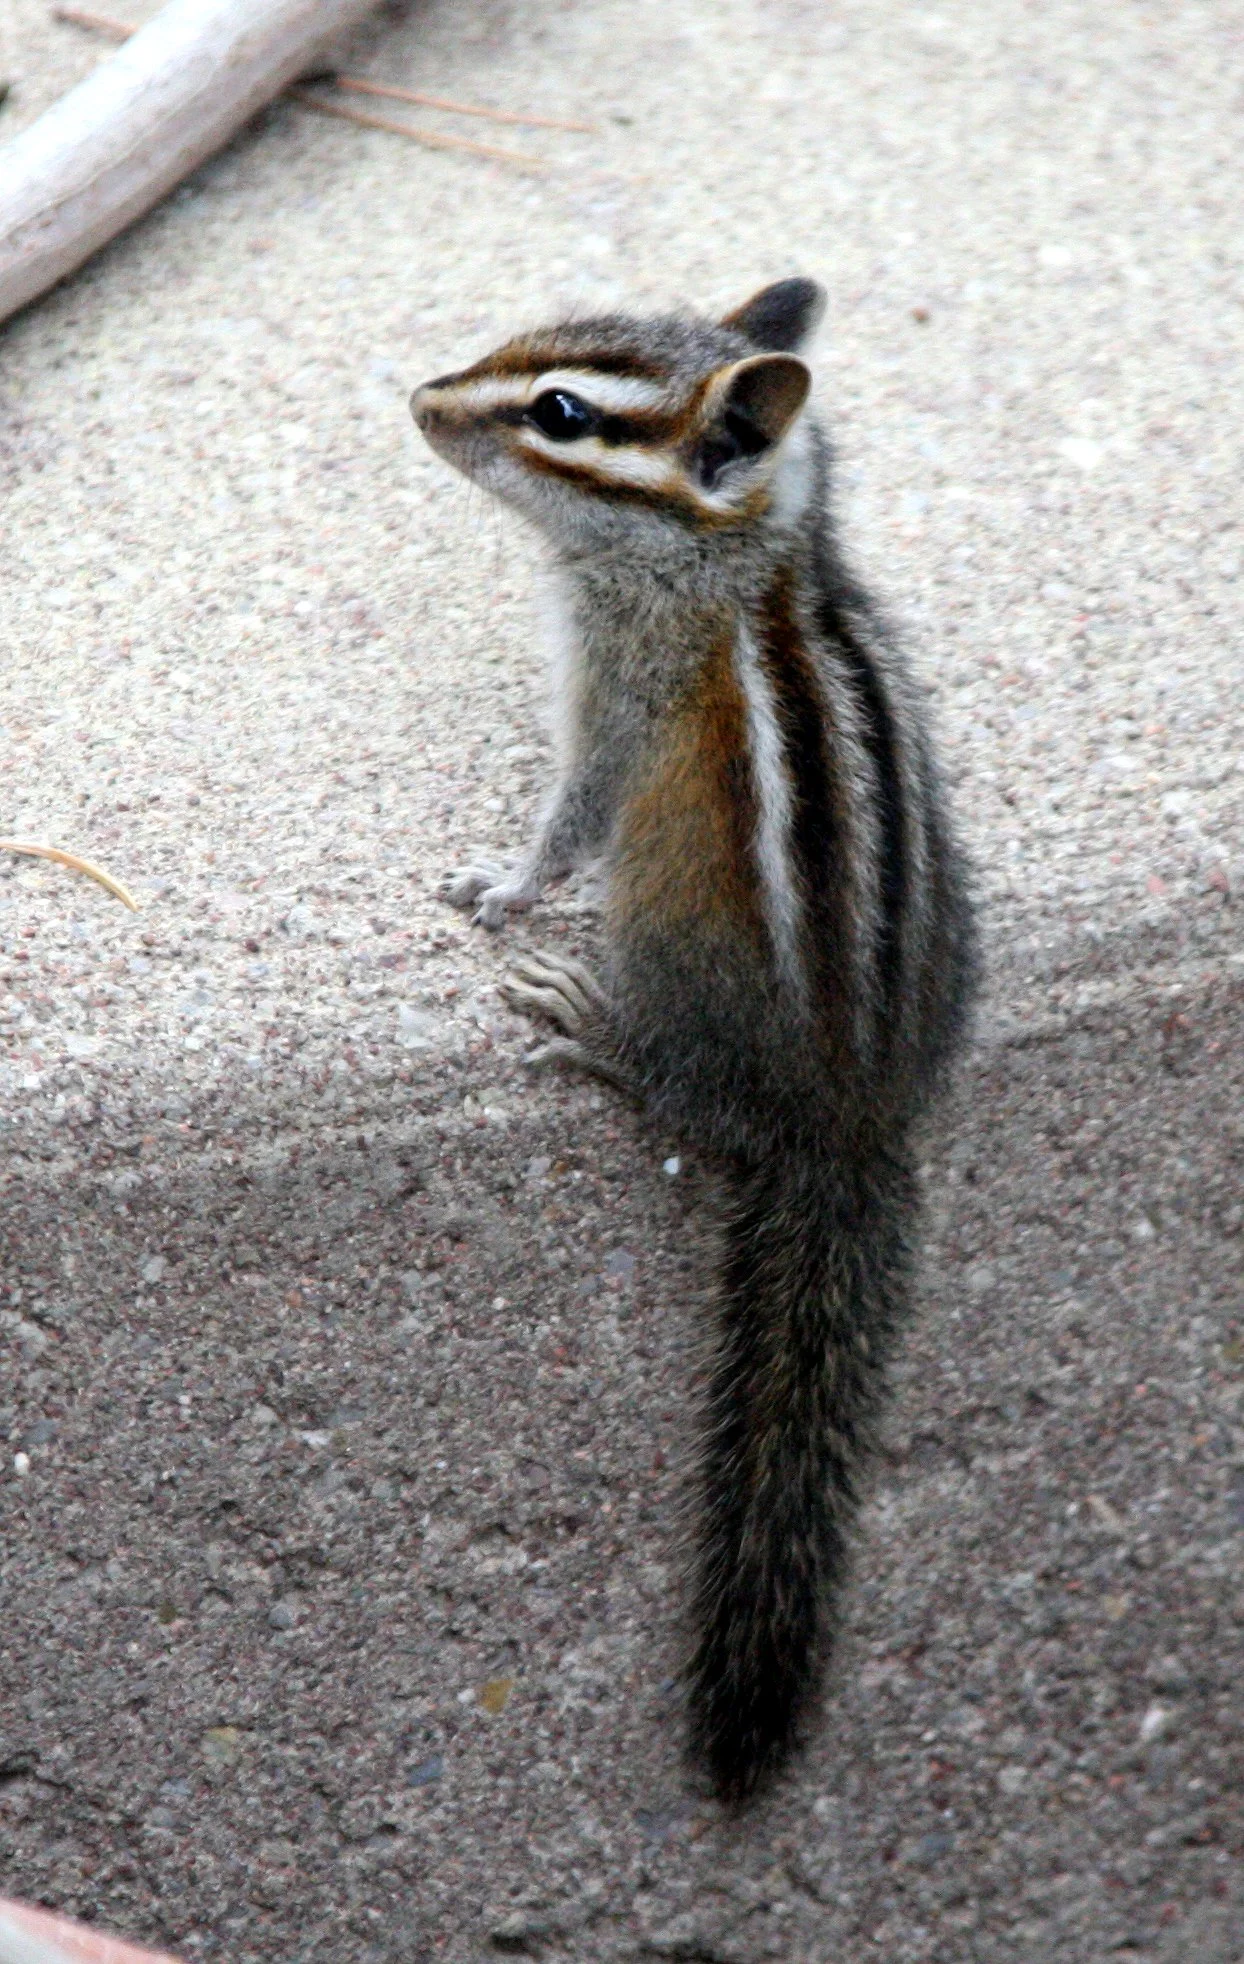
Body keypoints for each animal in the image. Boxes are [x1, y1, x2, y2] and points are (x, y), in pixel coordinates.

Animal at [410, 279, 977, 1804]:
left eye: (559, 413)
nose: (420, 398)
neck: (741, 558)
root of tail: (846, 1112)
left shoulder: (618, 695)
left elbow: (571, 816)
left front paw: (502, 889)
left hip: (666, 958)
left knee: (678, 1095)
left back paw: (592, 1025)